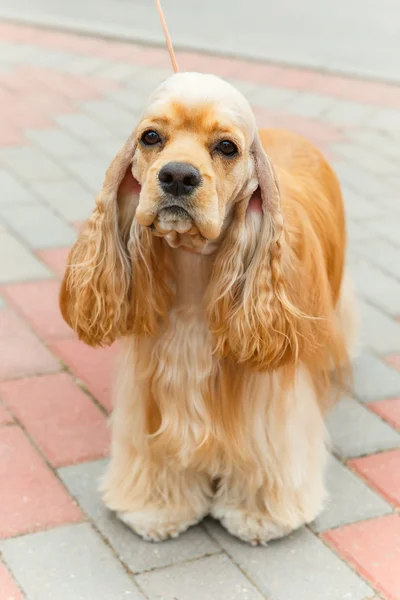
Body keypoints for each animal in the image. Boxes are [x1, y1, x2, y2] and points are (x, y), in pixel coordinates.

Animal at [60, 70, 356, 544]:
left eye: (227, 147)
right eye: (150, 137)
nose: (178, 176)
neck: (196, 270)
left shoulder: (268, 395)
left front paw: (260, 515)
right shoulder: (152, 385)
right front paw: (155, 508)